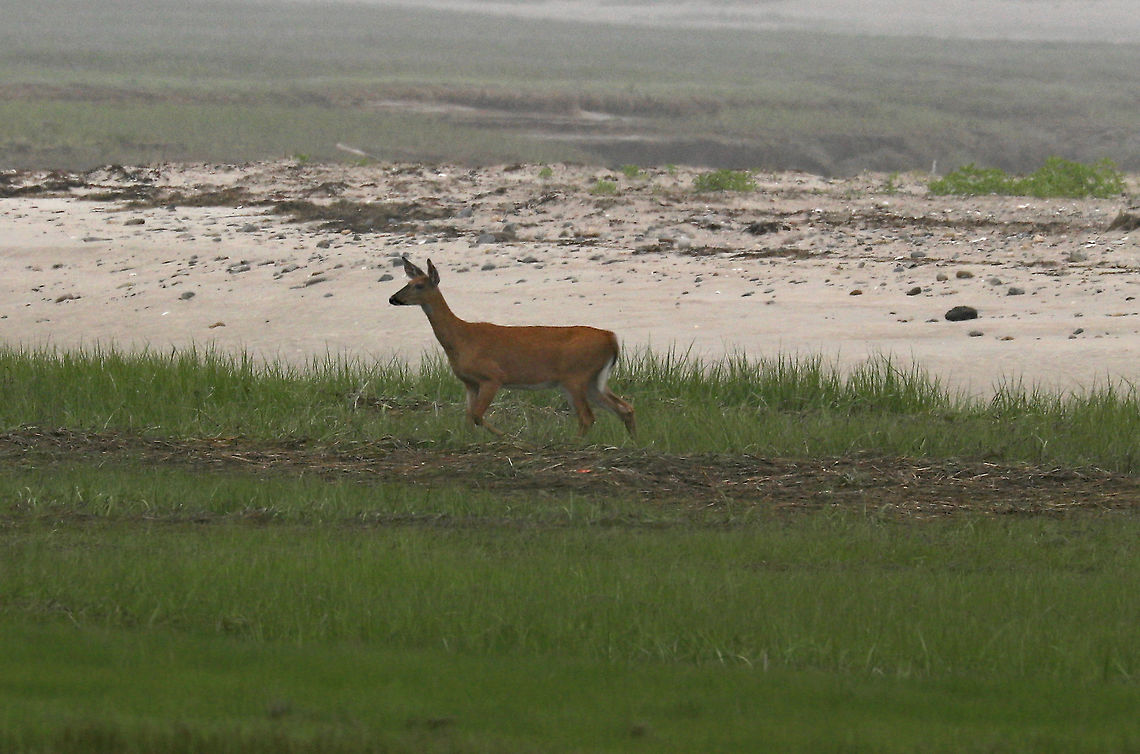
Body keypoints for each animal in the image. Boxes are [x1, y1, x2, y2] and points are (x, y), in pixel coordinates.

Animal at [388, 257, 635, 437]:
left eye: (419, 285)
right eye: (406, 283)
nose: (393, 298)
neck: (461, 339)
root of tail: (611, 338)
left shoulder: (492, 376)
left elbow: (477, 416)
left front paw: (506, 437)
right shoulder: (469, 383)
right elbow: (468, 417)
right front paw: (469, 441)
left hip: (576, 376)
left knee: (588, 417)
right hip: (592, 380)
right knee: (625, 407)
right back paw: (632, 442)